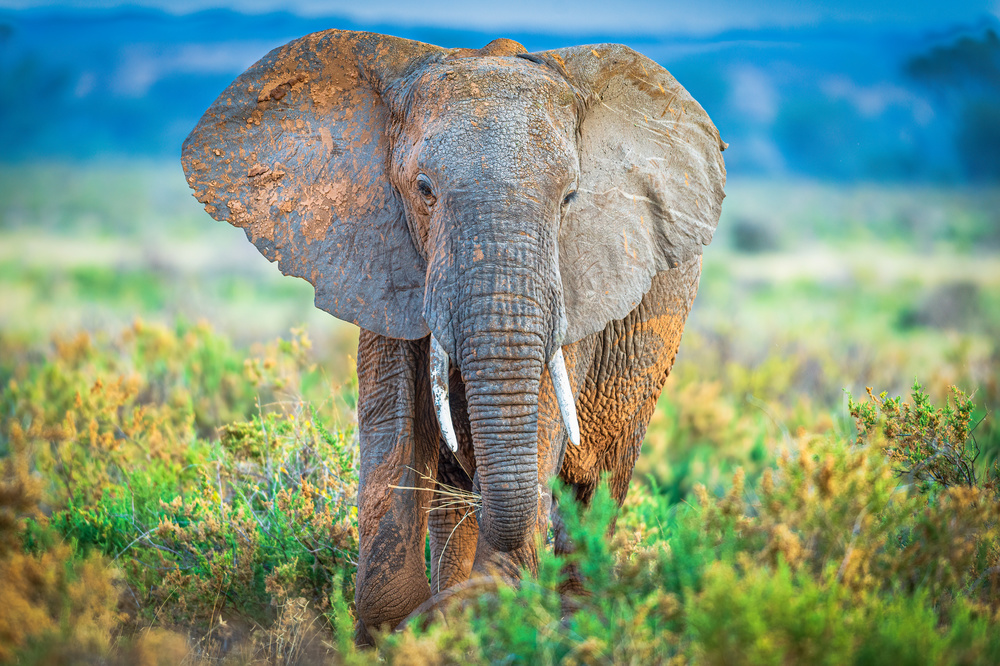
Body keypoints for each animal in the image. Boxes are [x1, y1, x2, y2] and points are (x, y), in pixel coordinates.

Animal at [181, 30, 726, 645]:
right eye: (424, 190)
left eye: (570, 199)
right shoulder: (381, 252)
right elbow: (393, 417)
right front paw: (405, 627)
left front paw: (471, 617)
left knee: (596, 485)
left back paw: (575, 624)